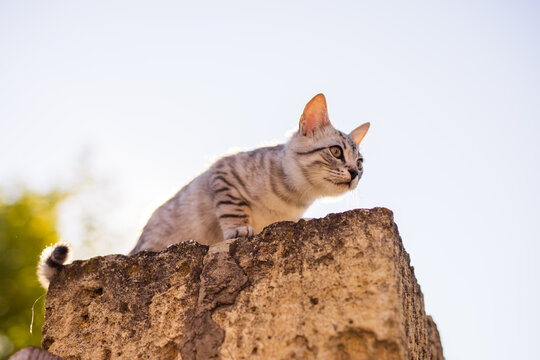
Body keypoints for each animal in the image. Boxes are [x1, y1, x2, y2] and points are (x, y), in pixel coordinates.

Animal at [35, 94, 370, 288]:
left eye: (360, 162)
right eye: (336, 152)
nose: (355, 174)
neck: (293, 198)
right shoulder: (223, 174)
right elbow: (233, 211)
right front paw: (239, 230)